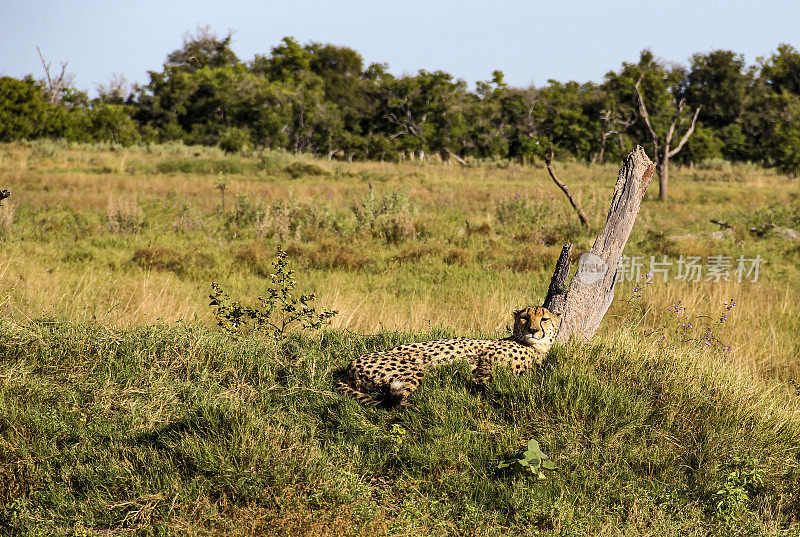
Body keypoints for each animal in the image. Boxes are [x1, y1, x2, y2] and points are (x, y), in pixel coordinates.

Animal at [334, 306, 560, 406]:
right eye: (524, 318)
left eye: (544, 319)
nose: (533, 330)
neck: (535, 347)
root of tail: (349, 366)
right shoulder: (485, 360)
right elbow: (482, 379)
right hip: (413, 369)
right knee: (394, 399)